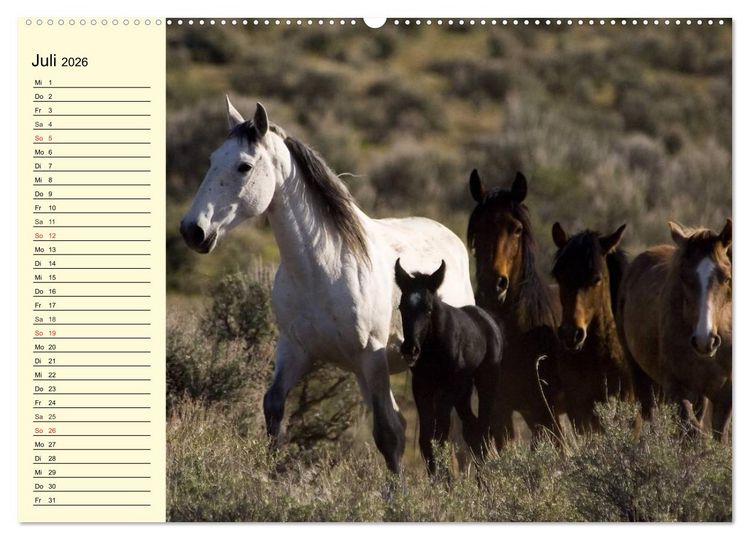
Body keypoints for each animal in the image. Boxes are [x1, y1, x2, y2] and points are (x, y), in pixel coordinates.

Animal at [179, 97, 476, 473]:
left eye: (244, 166)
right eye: (212, 159)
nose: (192, 230)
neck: (323, 270)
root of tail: (449, 236)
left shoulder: (371, 357)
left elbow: (388, 434)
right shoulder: (295, 349)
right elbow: (273, 410)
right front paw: (270, 477)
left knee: (457, 432)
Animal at [394, 259, 502, 474]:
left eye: (428, 308)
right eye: (401, 307)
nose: (410, 349)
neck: (434, 347)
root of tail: (490, 322)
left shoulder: (450, 386)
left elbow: (441, 435)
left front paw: (446, 478)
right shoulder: (422, 386)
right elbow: (426, 438)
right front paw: (437, 477)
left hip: (484, 382)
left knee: (482, 429)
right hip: (464, 391)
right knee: (472, 429)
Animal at [617, 219, 732, 441]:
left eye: (726, 277)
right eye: (684, 277)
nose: (705, 341)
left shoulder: (724, 396)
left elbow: (717, 436)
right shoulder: (677, 389)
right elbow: (692, 432)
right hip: (640, 376)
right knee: (649, 414)